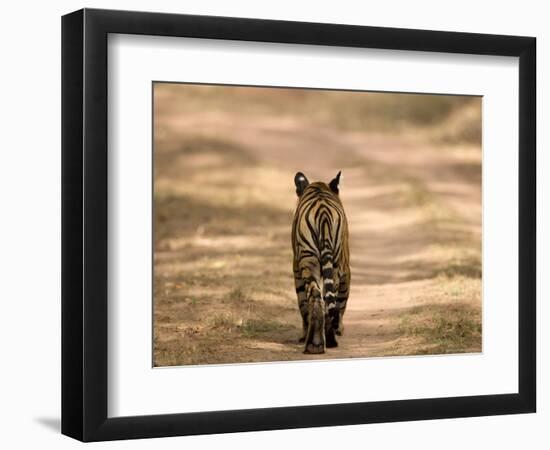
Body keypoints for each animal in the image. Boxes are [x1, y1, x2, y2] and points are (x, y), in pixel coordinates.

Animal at [292, 171, 352, 354]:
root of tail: (323, 211)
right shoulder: (346, 270)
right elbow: (341, 302)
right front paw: (339, 328)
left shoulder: (296, 268)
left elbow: (303, 303)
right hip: (331, 264)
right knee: (325, 299)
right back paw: (325, 341)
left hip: (309, 261)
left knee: (317, 298)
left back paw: (315, 344)